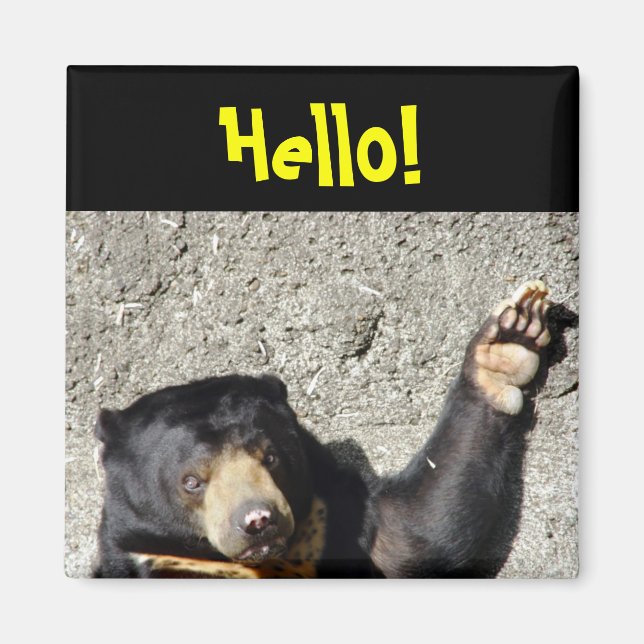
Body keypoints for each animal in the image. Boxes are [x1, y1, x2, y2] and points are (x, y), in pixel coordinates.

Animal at [93, 280, 553, 578]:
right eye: (191, 481)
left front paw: (508, 342)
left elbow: (415, 533)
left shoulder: (341, 510)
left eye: (272, 457)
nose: (258, 520)